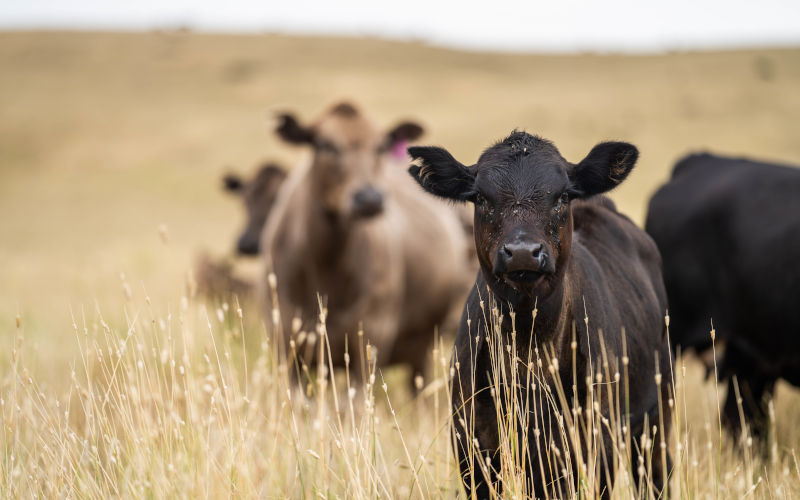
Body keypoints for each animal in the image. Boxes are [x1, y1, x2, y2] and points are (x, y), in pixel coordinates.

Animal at [260, 101, 474, 387]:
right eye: (325, 144)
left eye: (380, 146)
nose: (369, 198)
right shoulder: (288, 345)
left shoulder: (369, 343)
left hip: (425, 347)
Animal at [408, 131, 672, 498]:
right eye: (480, 198)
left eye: (562, 196)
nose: (522, 252)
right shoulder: (472, 445)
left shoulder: (595, 442)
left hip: (657, 416)